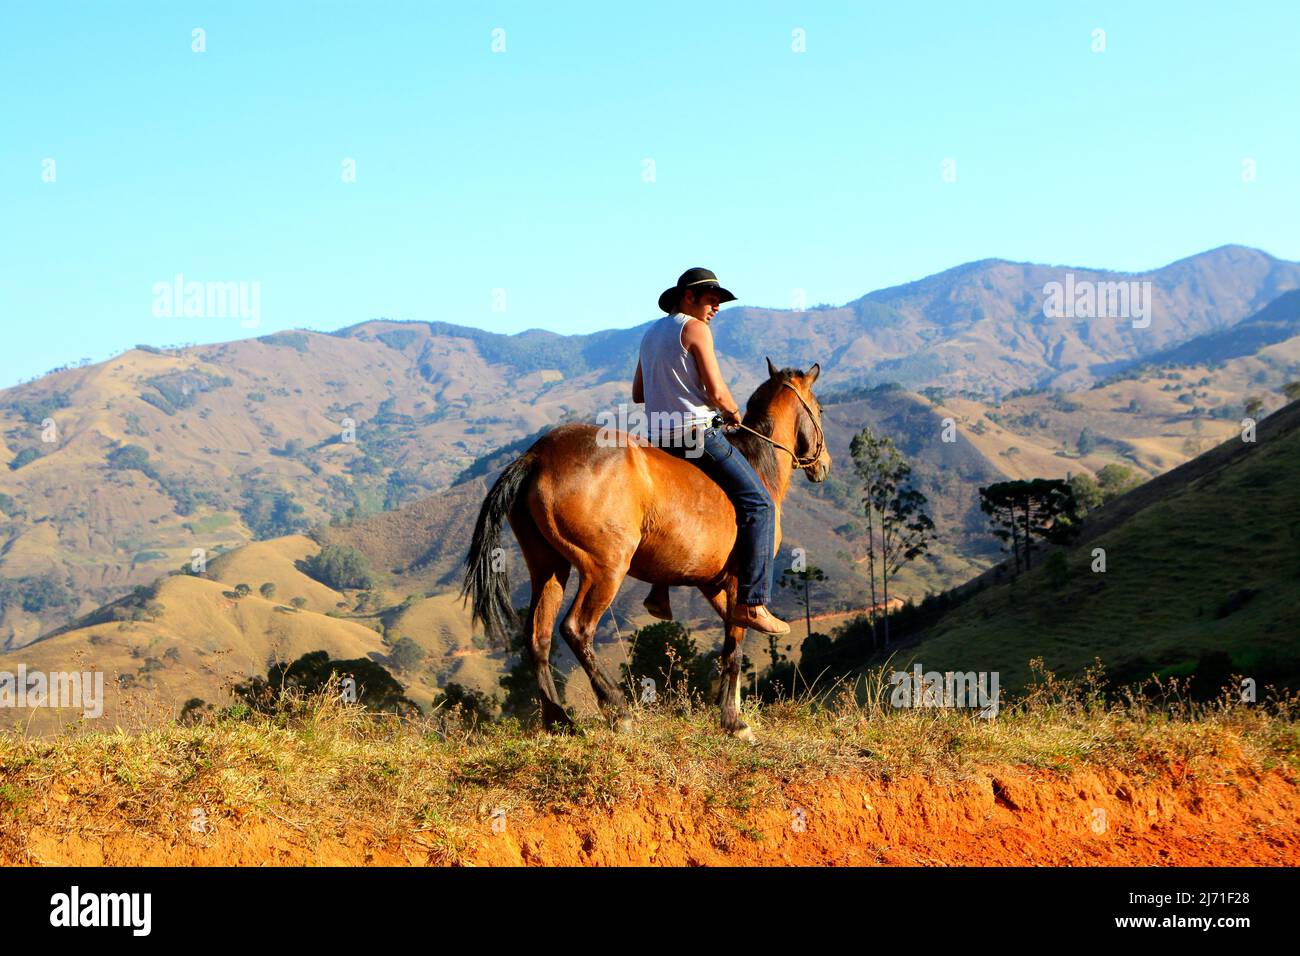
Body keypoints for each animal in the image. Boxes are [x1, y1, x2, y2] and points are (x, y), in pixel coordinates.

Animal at [465, 358, 832, 738]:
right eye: (819, 410)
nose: (824, 465)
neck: (759, 465)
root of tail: (538, 455)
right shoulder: (736, 580)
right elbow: (734, 649)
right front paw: (734, 722)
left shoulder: (713, 583)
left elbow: (730, 646)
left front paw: (729, 712)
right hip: (606, 568)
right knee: (576, 629)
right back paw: (617, 707)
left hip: (547, 566)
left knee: (538, 635)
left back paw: (558, 719)